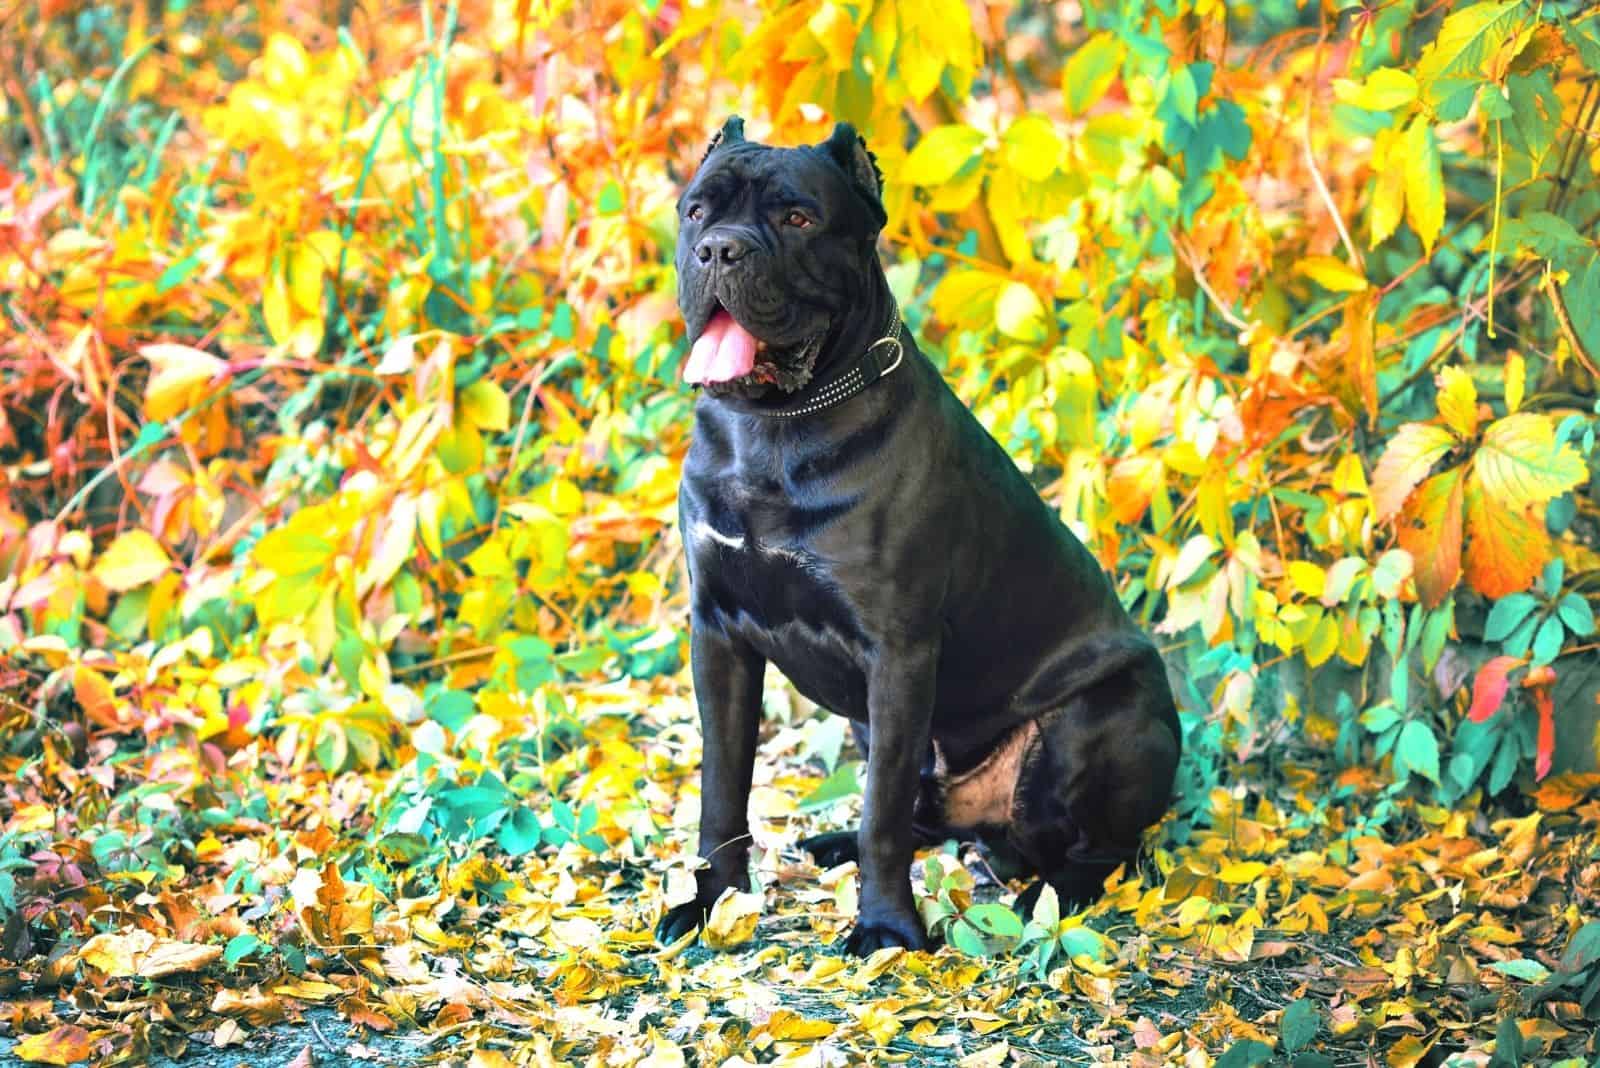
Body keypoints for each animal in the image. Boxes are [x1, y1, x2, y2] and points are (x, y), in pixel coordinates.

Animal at [656, 119, 1184, 959]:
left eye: (798, 218)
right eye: (697, 212)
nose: (720, 251)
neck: (772, 428)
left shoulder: (898, 652)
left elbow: (882, 813)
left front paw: (885, 927)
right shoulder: (718, 633)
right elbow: (722, 787)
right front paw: (714, 901)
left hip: (1100, 720)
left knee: (1101, 851)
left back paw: (1046, 895)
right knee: (922, 814)